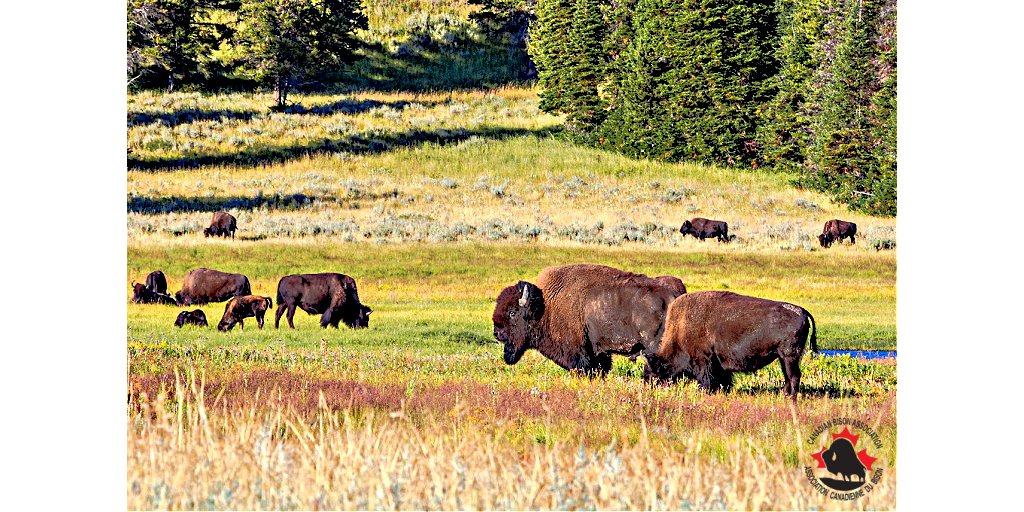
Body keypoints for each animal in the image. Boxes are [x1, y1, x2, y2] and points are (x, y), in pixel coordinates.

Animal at [492, 264, 686, 377]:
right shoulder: (598, 353)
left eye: (512, 312)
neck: (545, 305)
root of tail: (673, 296)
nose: (497, 333)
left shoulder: (579, 353)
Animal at [644, 291, 817, 400]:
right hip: (783, 358)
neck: (681, 327)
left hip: (789, 357)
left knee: (793, 376)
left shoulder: (703, 360)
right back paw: (785, 395)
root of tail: (802, 311)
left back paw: (792, 399)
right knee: (788, 377)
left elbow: (706, 379)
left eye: (652, 373)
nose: (648, 388)